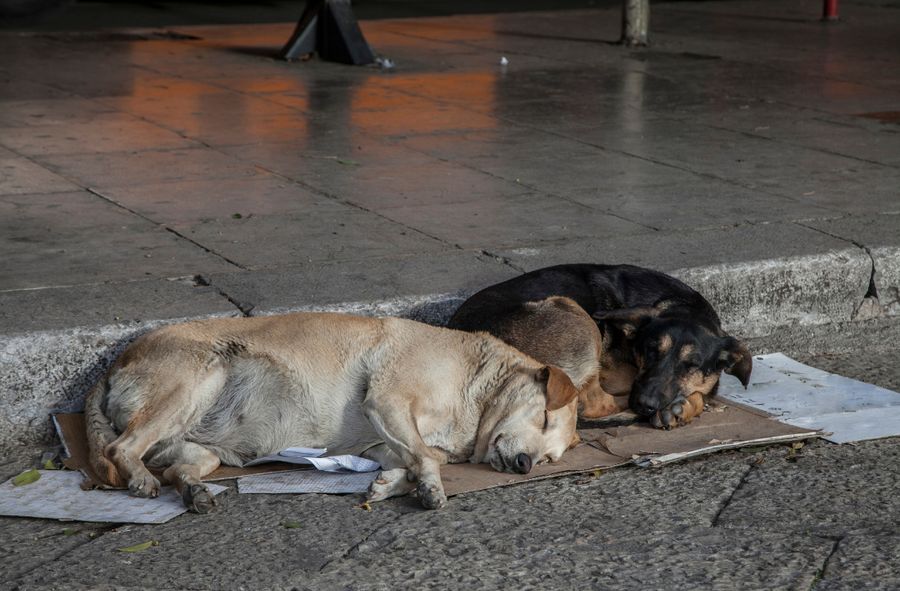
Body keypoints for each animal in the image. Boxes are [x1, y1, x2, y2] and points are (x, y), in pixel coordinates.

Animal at [82, 312, 576, 512]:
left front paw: (390, 486)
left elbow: (413, 459)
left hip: (199, 449)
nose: (525, 464)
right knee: (121, 449)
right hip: (197, 380)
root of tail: (112, 367)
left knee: (174, 468)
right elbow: (426, 456)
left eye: (549, 459)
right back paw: (140, 479)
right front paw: (429, 488)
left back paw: (194, 493)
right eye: (544, 418)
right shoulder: (389, 402)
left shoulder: (384, 441)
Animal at [450, 266, 752, 428]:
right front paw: (682, 407)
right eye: (651, 350)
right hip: (577, 316)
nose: (645, 404)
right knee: (592, 403)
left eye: (691, 365)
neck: (679, 303)